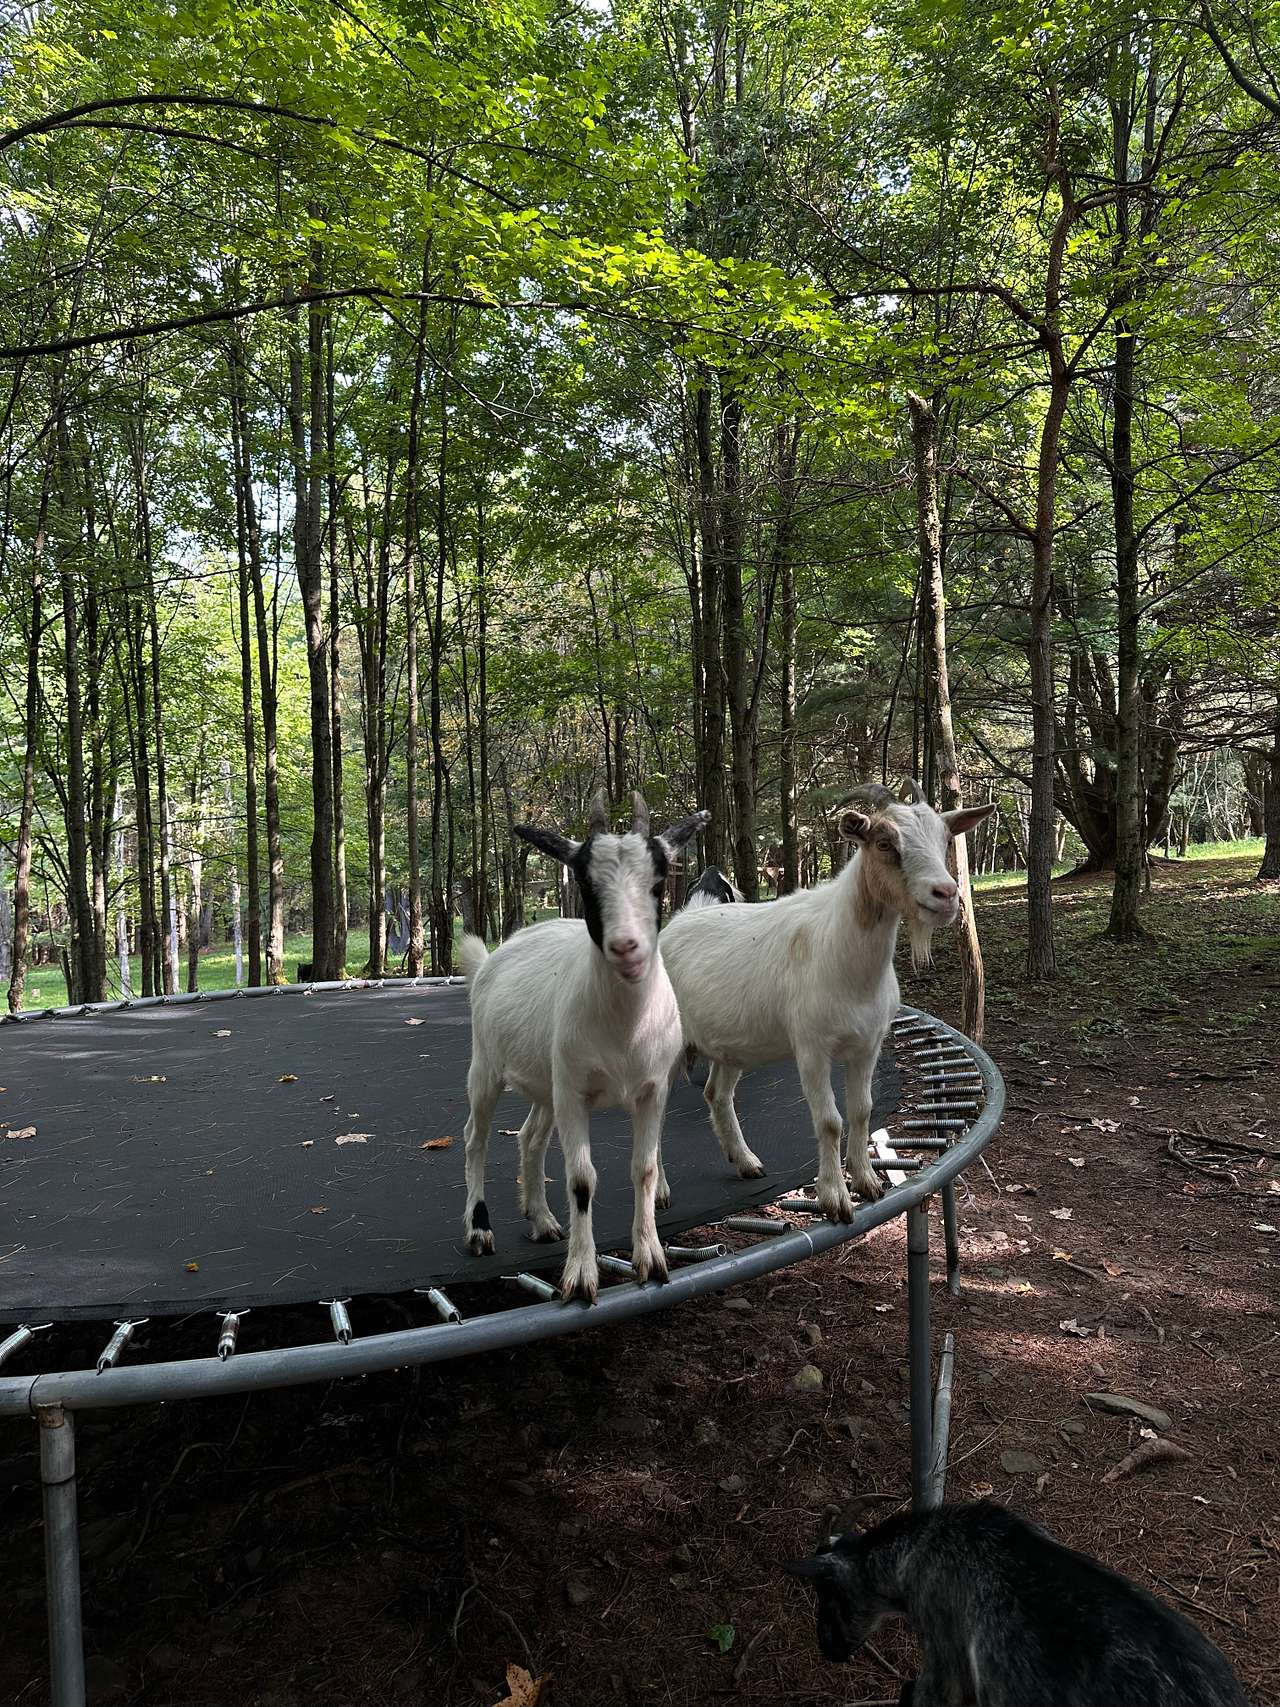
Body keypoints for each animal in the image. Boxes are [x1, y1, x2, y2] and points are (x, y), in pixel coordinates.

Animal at [458, 789, 708, 1304]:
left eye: (658, 882)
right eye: (586, 882)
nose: (627, 948)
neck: (623, 1031)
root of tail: (495, 954)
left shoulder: (651, 1090)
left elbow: (644, 1169)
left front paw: (651, 1259)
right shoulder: (574, 1094)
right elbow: (581, 1180)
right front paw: (579, 1275)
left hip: (546, 1082)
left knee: (530, 1137)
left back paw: (542, 1220)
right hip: (486, 1067)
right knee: (476, 1137)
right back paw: (479, 1229)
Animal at [660, 780, 993, 1220]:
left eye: (944, 839)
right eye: (884, 843)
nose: (946, 894)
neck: (843, 955)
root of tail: (676, 922)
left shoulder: (867, 1045)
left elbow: (861, 1109)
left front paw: (868, 1183)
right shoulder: (812, 1048)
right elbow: (830, 1121)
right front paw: (834, 1198)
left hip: (730, 1045)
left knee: (717, 1094)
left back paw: (747, 1162)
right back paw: (659, 1192)